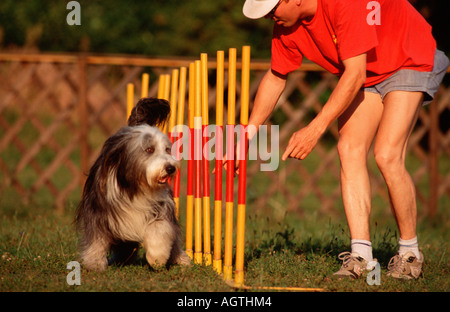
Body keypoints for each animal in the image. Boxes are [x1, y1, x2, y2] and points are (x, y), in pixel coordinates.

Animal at [75, 97, 190, 270]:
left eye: (167, 149)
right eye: (149, 149)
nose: (170, 168)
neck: (137, 186)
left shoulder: (161, 207)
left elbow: (159, 229)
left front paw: (157, 258)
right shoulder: (100, 211)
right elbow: (97, 239)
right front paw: (94, 263)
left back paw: (180, 258)